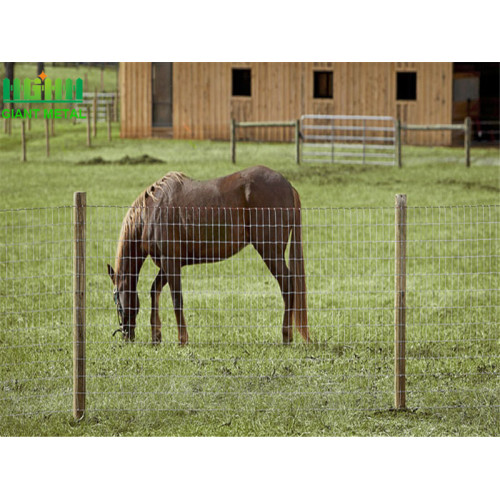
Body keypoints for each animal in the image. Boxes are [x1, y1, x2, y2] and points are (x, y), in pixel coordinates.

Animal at [107, 164, 306, 344]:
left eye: (116, 298)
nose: (126, 336)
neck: (151, 212)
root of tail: (287, 185)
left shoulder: (170, 262)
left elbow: (177, 299)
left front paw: (182, 340)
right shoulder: (168, 264)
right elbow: (154, 291)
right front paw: (156, 336)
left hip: (270, 251)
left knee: (288, 284)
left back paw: (286, 336)